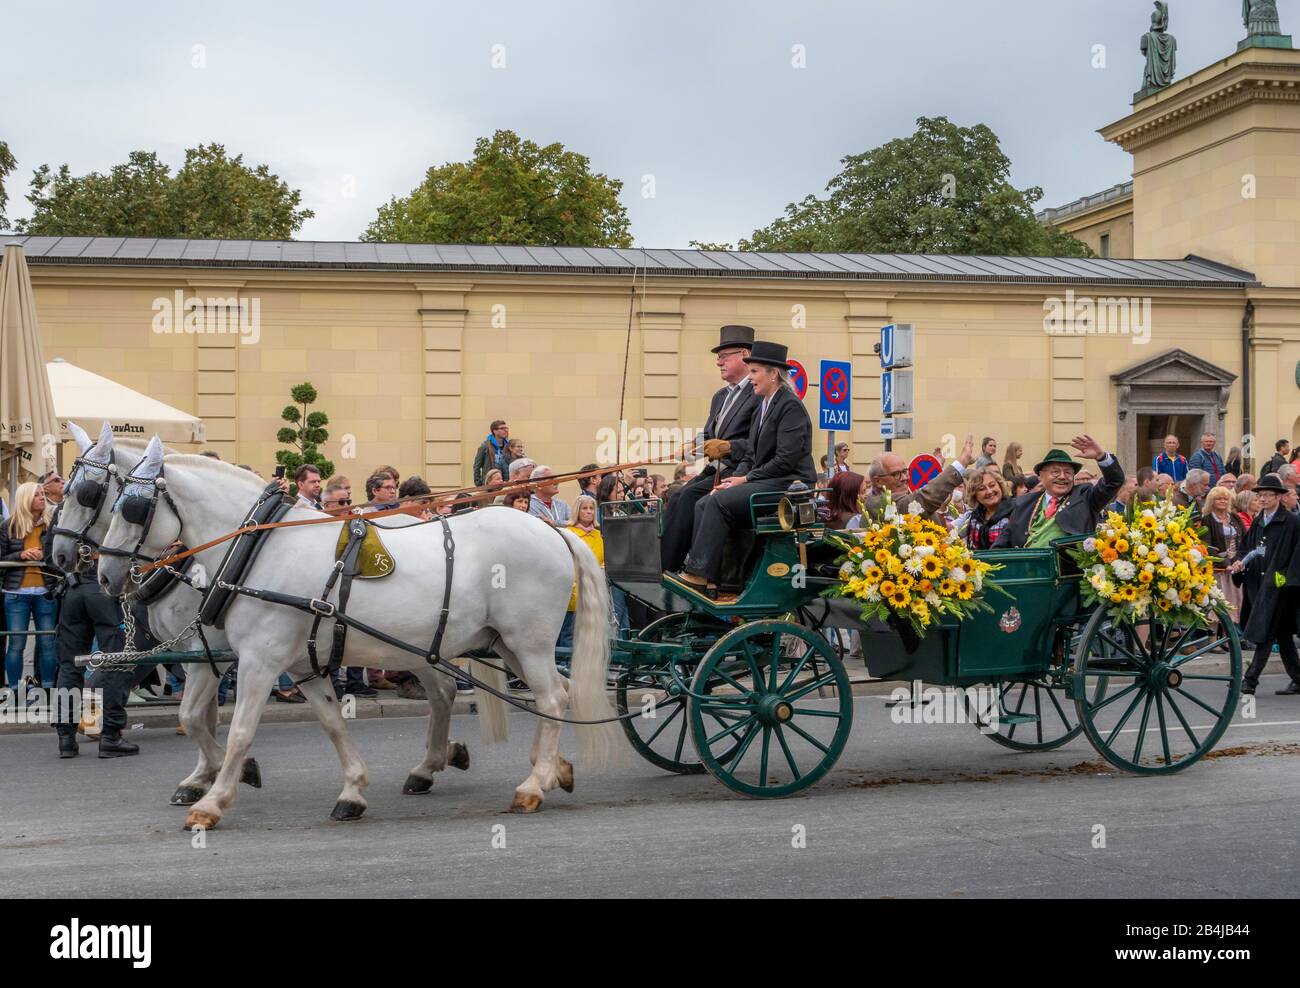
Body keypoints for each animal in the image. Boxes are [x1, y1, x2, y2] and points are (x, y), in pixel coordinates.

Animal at [53, 421, 473, 806]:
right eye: (66, 492)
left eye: (88, 494)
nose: (60, 556)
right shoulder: (197, 653)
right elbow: (199, 715)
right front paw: (207, 776)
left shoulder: (210, 652)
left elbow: (195, 716)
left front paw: (228, 772)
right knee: (442, 690)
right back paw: (435, 760)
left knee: (443, 689)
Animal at [98, 439, 616, 826]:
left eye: (133, 508)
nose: (102, 574)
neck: (259, 547)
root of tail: (555, 532)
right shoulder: (301, 664)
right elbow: (332, 722)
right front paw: (352, 791)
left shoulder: (259, 659)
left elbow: (241, 729)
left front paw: (213, 800)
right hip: (506, 645)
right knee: (556, 692)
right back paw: (551, 770)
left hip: (527, 642)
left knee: (551, 699)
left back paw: (533, 785)